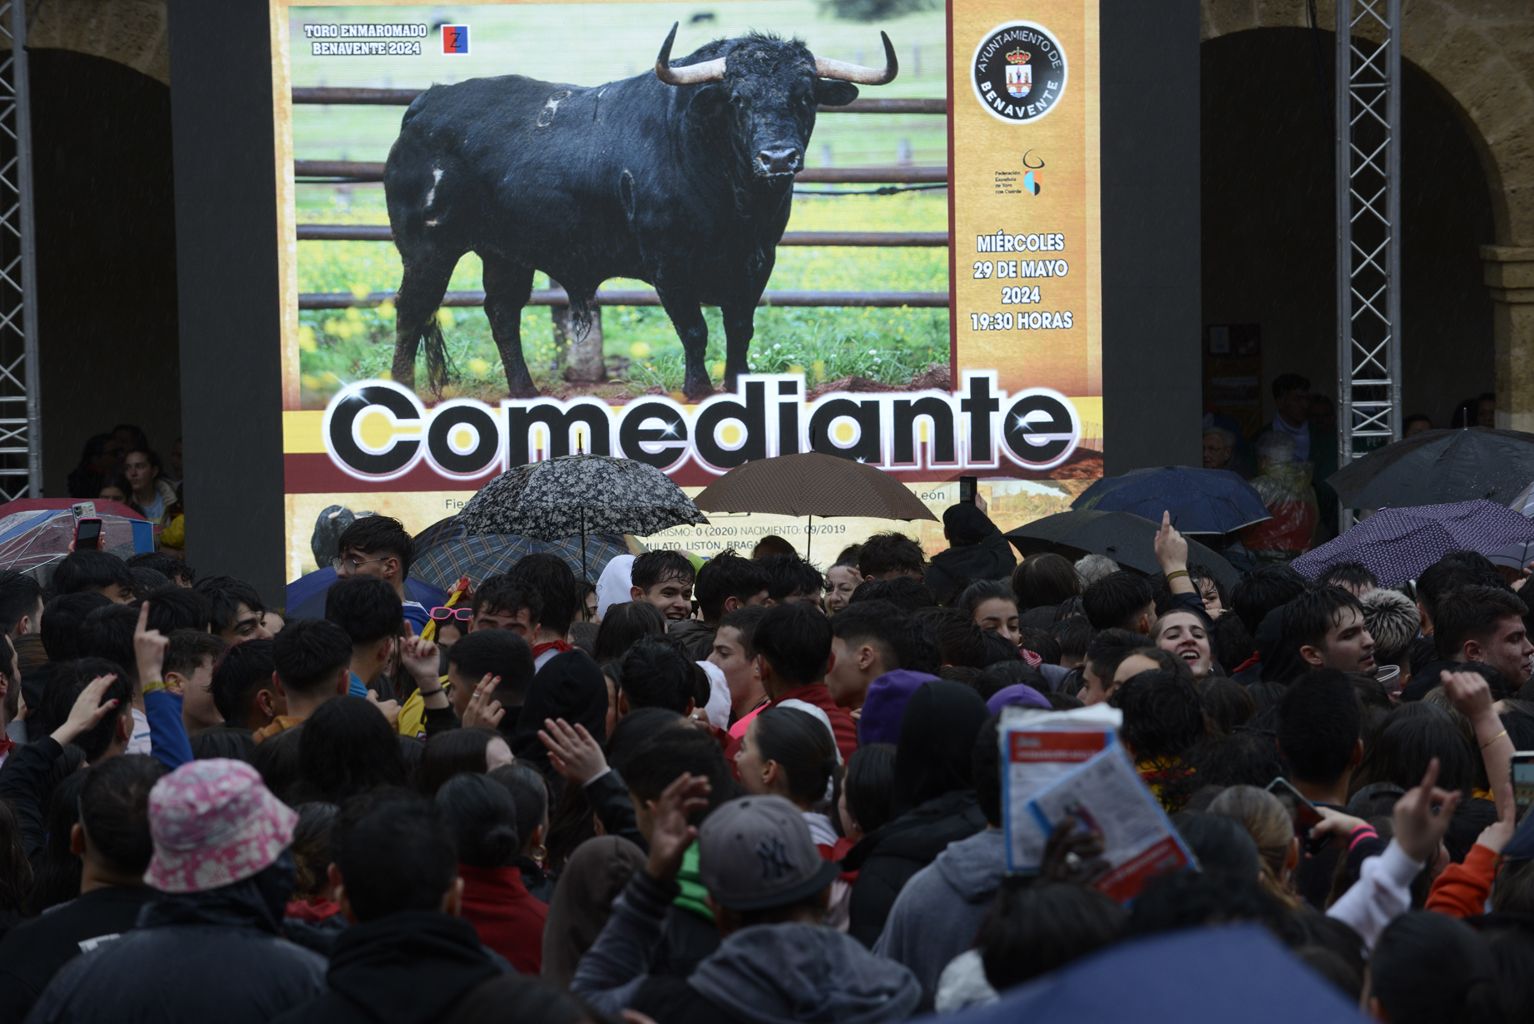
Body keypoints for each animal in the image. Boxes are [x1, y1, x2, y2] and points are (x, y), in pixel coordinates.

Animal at [378, 23, 895, 398]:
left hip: (506, 253)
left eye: (805, 97)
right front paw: (698, 389)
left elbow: (739, 328)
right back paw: (404, 390)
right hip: (427, 248)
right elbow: (695, 330)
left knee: (502, 313)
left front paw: (737, 386)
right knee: (412, 311)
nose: (778, 158)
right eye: (738, 98)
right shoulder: (670, 265)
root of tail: (427, 102)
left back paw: (525, 392)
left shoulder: (757, 260)